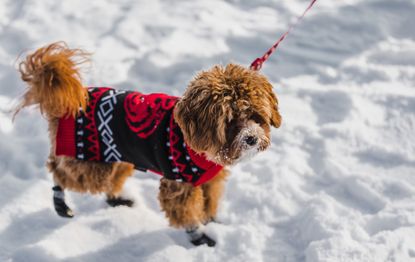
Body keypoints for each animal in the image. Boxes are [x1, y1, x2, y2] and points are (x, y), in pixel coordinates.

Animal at [16, 42, 282, 247]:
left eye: (256, 115)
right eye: (230, 120)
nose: (251, 138)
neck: (201, 147)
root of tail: (70, 102)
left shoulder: (210, 179)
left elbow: (209, 202)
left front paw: (212, 222)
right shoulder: (179, 185)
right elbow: (186, 213)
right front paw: (199, 236)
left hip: (119, 157)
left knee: (107, 179)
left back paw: (116, 199)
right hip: (91, 161)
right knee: (59, 169)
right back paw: (60, 201)